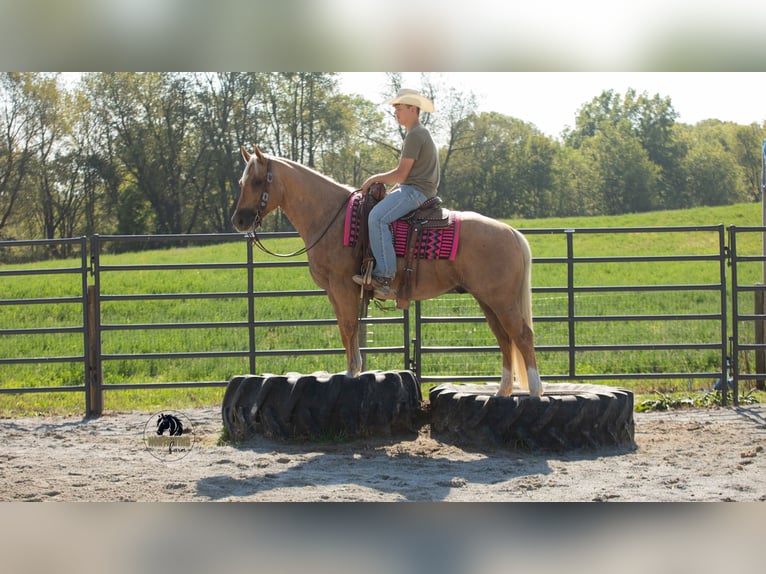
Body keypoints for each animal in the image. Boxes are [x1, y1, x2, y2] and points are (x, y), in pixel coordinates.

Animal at [232, 146, 542, 398]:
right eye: (241, 182)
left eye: (257, 181)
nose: (239, 220)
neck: (331, 217)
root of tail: (511, 232)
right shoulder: (334, 291)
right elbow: (346, 328)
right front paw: (353, 369)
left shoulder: (343, 286)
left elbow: (349, 326)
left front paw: (351, 373)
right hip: (487, 299)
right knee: (504, 338)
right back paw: (502, 391)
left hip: (501, 300)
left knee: (522, 336)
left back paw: (535, 390)